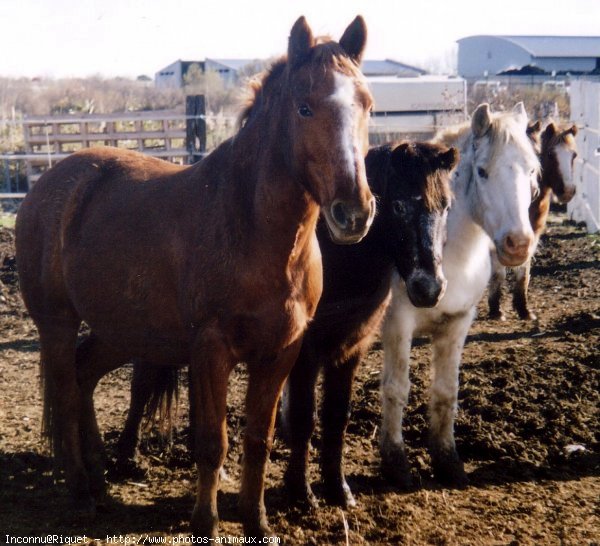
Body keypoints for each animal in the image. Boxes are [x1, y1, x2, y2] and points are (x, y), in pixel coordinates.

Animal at [15, 17, 376, 536]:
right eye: (305, 106)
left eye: (367, 104)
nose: (354, 212)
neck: (253, 229)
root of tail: (47, 185)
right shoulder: (210, 349)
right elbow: (212, 442)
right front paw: (206, 522)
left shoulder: (281, 352)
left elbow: (258, 439)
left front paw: (257, 522)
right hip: (57, 325)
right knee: (65, 394)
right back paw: (82, 491)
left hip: (123, 330)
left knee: (83, 376)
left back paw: (101, 478)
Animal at [490, 120, 580, 316]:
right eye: (550, 154)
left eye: (574, 155)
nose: (567, 191)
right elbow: (498, 271)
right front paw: (496, 309)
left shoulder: (532, 233)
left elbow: (524, 270)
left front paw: (523, 308)